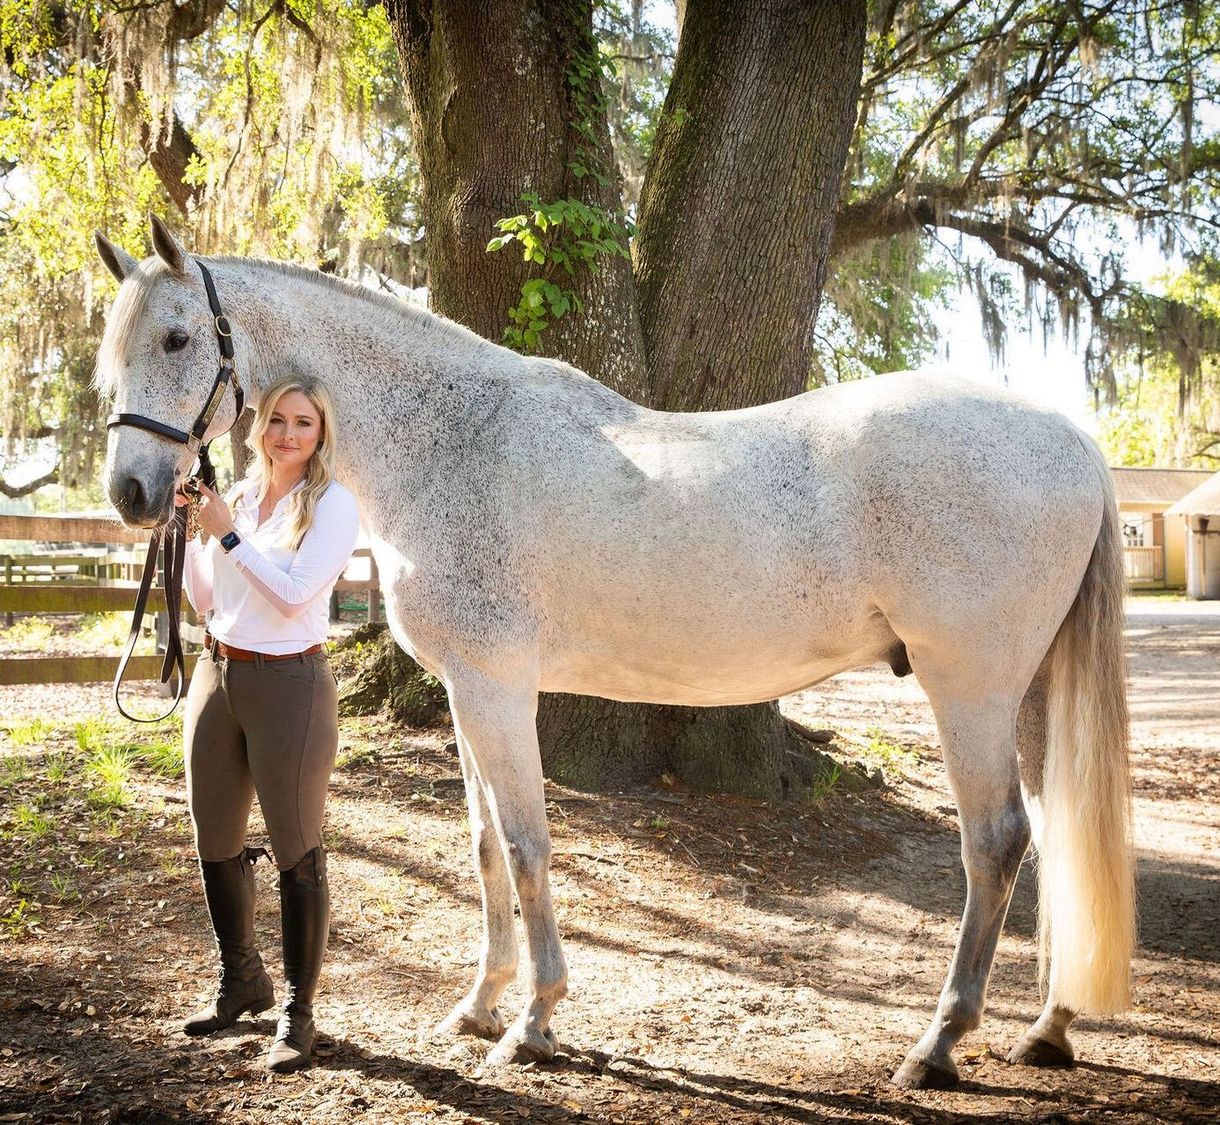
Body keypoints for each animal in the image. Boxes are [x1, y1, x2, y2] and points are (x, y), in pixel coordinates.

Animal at [95, 219, 1132, 1088]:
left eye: (178, 339)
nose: (133, 493)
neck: (451, 439)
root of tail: (1072, 438)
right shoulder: (468, 692)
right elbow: (484, 846)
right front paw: (479, 1006)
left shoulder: (498, 689)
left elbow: (526, 843)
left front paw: (533, 1022)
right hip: (1028, 692)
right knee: (1054, 829)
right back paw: (1045, 1028)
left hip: (971, 688)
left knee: (996, 840)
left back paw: (938, 1042)